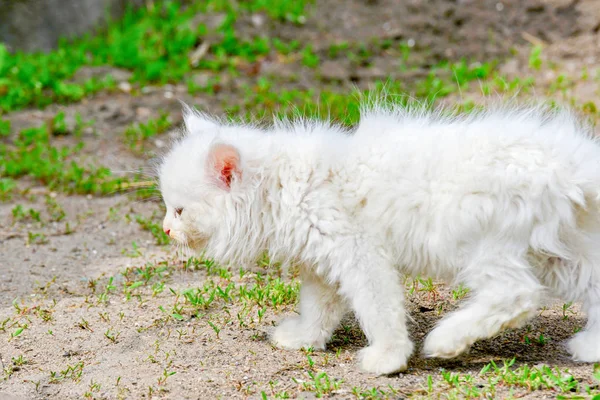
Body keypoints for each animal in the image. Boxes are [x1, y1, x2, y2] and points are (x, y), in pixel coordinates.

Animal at [158, 102, 600, 376]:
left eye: (178, 210)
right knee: (590, 285)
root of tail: (573, 162)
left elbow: (378, 311)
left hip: (484, 244)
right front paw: (304, 339)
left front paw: (388, 359)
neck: (284, 187)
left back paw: (447, 340)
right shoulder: (325, 263)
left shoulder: (360, 254)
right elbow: (317, 309)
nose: (165, 229)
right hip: (551, 253)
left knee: (517, 295)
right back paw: (591, 348)